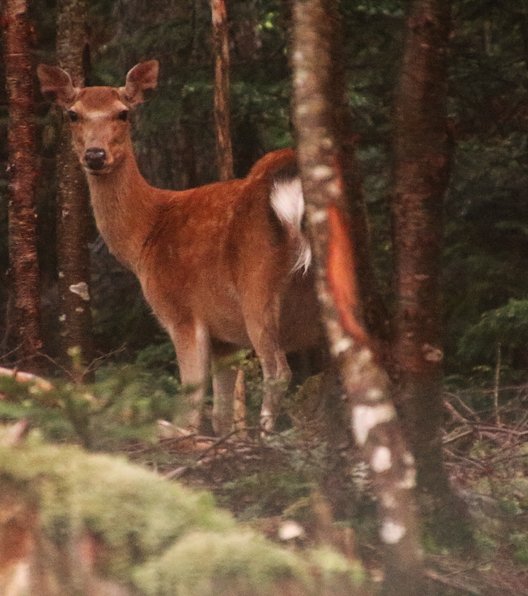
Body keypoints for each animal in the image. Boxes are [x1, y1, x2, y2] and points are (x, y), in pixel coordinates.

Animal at [38, 59, 322, 434]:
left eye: (123, 113)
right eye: (73, 114)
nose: (95, 155)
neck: (145, 236)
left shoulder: (182, 313)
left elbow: (190, 405)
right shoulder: (225, 337)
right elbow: (220, 415)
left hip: (257, 284)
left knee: (278, 371)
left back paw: (267, 436)